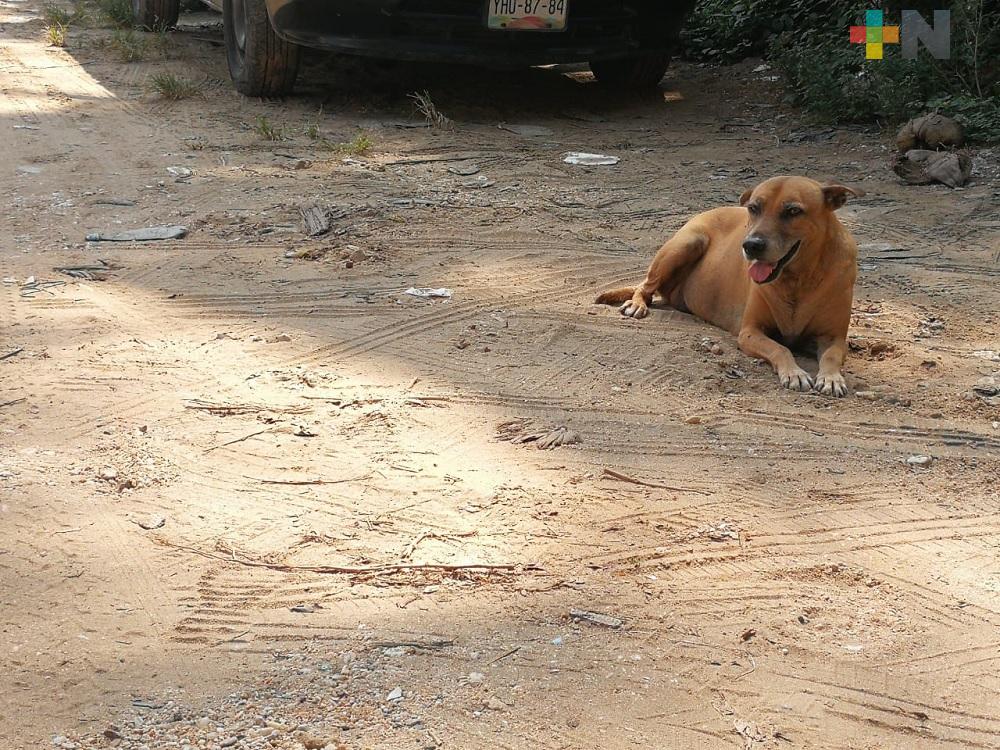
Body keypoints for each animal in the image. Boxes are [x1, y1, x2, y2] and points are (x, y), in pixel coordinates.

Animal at [596, 177, 864, 400]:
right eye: (754, 208)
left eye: (793, 211)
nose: (751, 245)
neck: (797, 278)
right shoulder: (750, 332)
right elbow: (780, 349)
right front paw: (795, 373)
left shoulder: (834, 337)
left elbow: (831, 355)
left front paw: (831, 378)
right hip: (687, 242)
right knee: (645, 286)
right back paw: (637, 304)